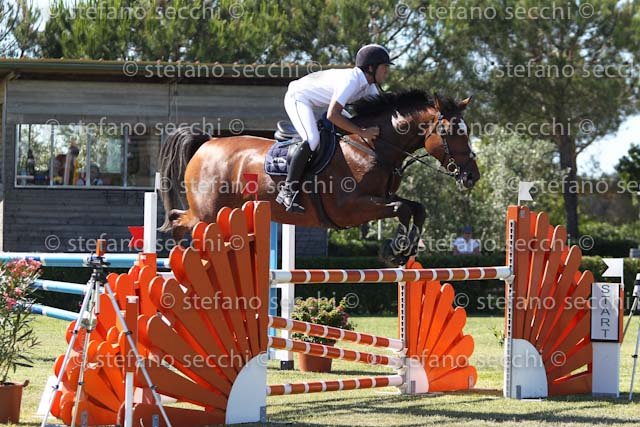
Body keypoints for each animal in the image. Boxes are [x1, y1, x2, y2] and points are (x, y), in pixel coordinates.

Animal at [158, 90, 479, 265]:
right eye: (452, 131)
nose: (472, 176)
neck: (371, 146)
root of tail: (207, 142)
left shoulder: (381, 198)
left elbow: (416, 209)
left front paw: (404, 252)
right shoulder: (351, 209)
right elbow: (402, 209)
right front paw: (393, 251)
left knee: (178, 220)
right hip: (208, 213)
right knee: (179, 222)